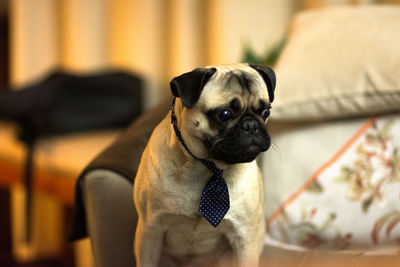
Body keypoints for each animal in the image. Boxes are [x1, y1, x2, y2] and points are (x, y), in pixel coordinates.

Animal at [134, 63, 276, 267]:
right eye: (224, 115)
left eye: (266, 112)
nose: (251, 125)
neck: (209, 168)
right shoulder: (149, 231)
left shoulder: (246, 239)